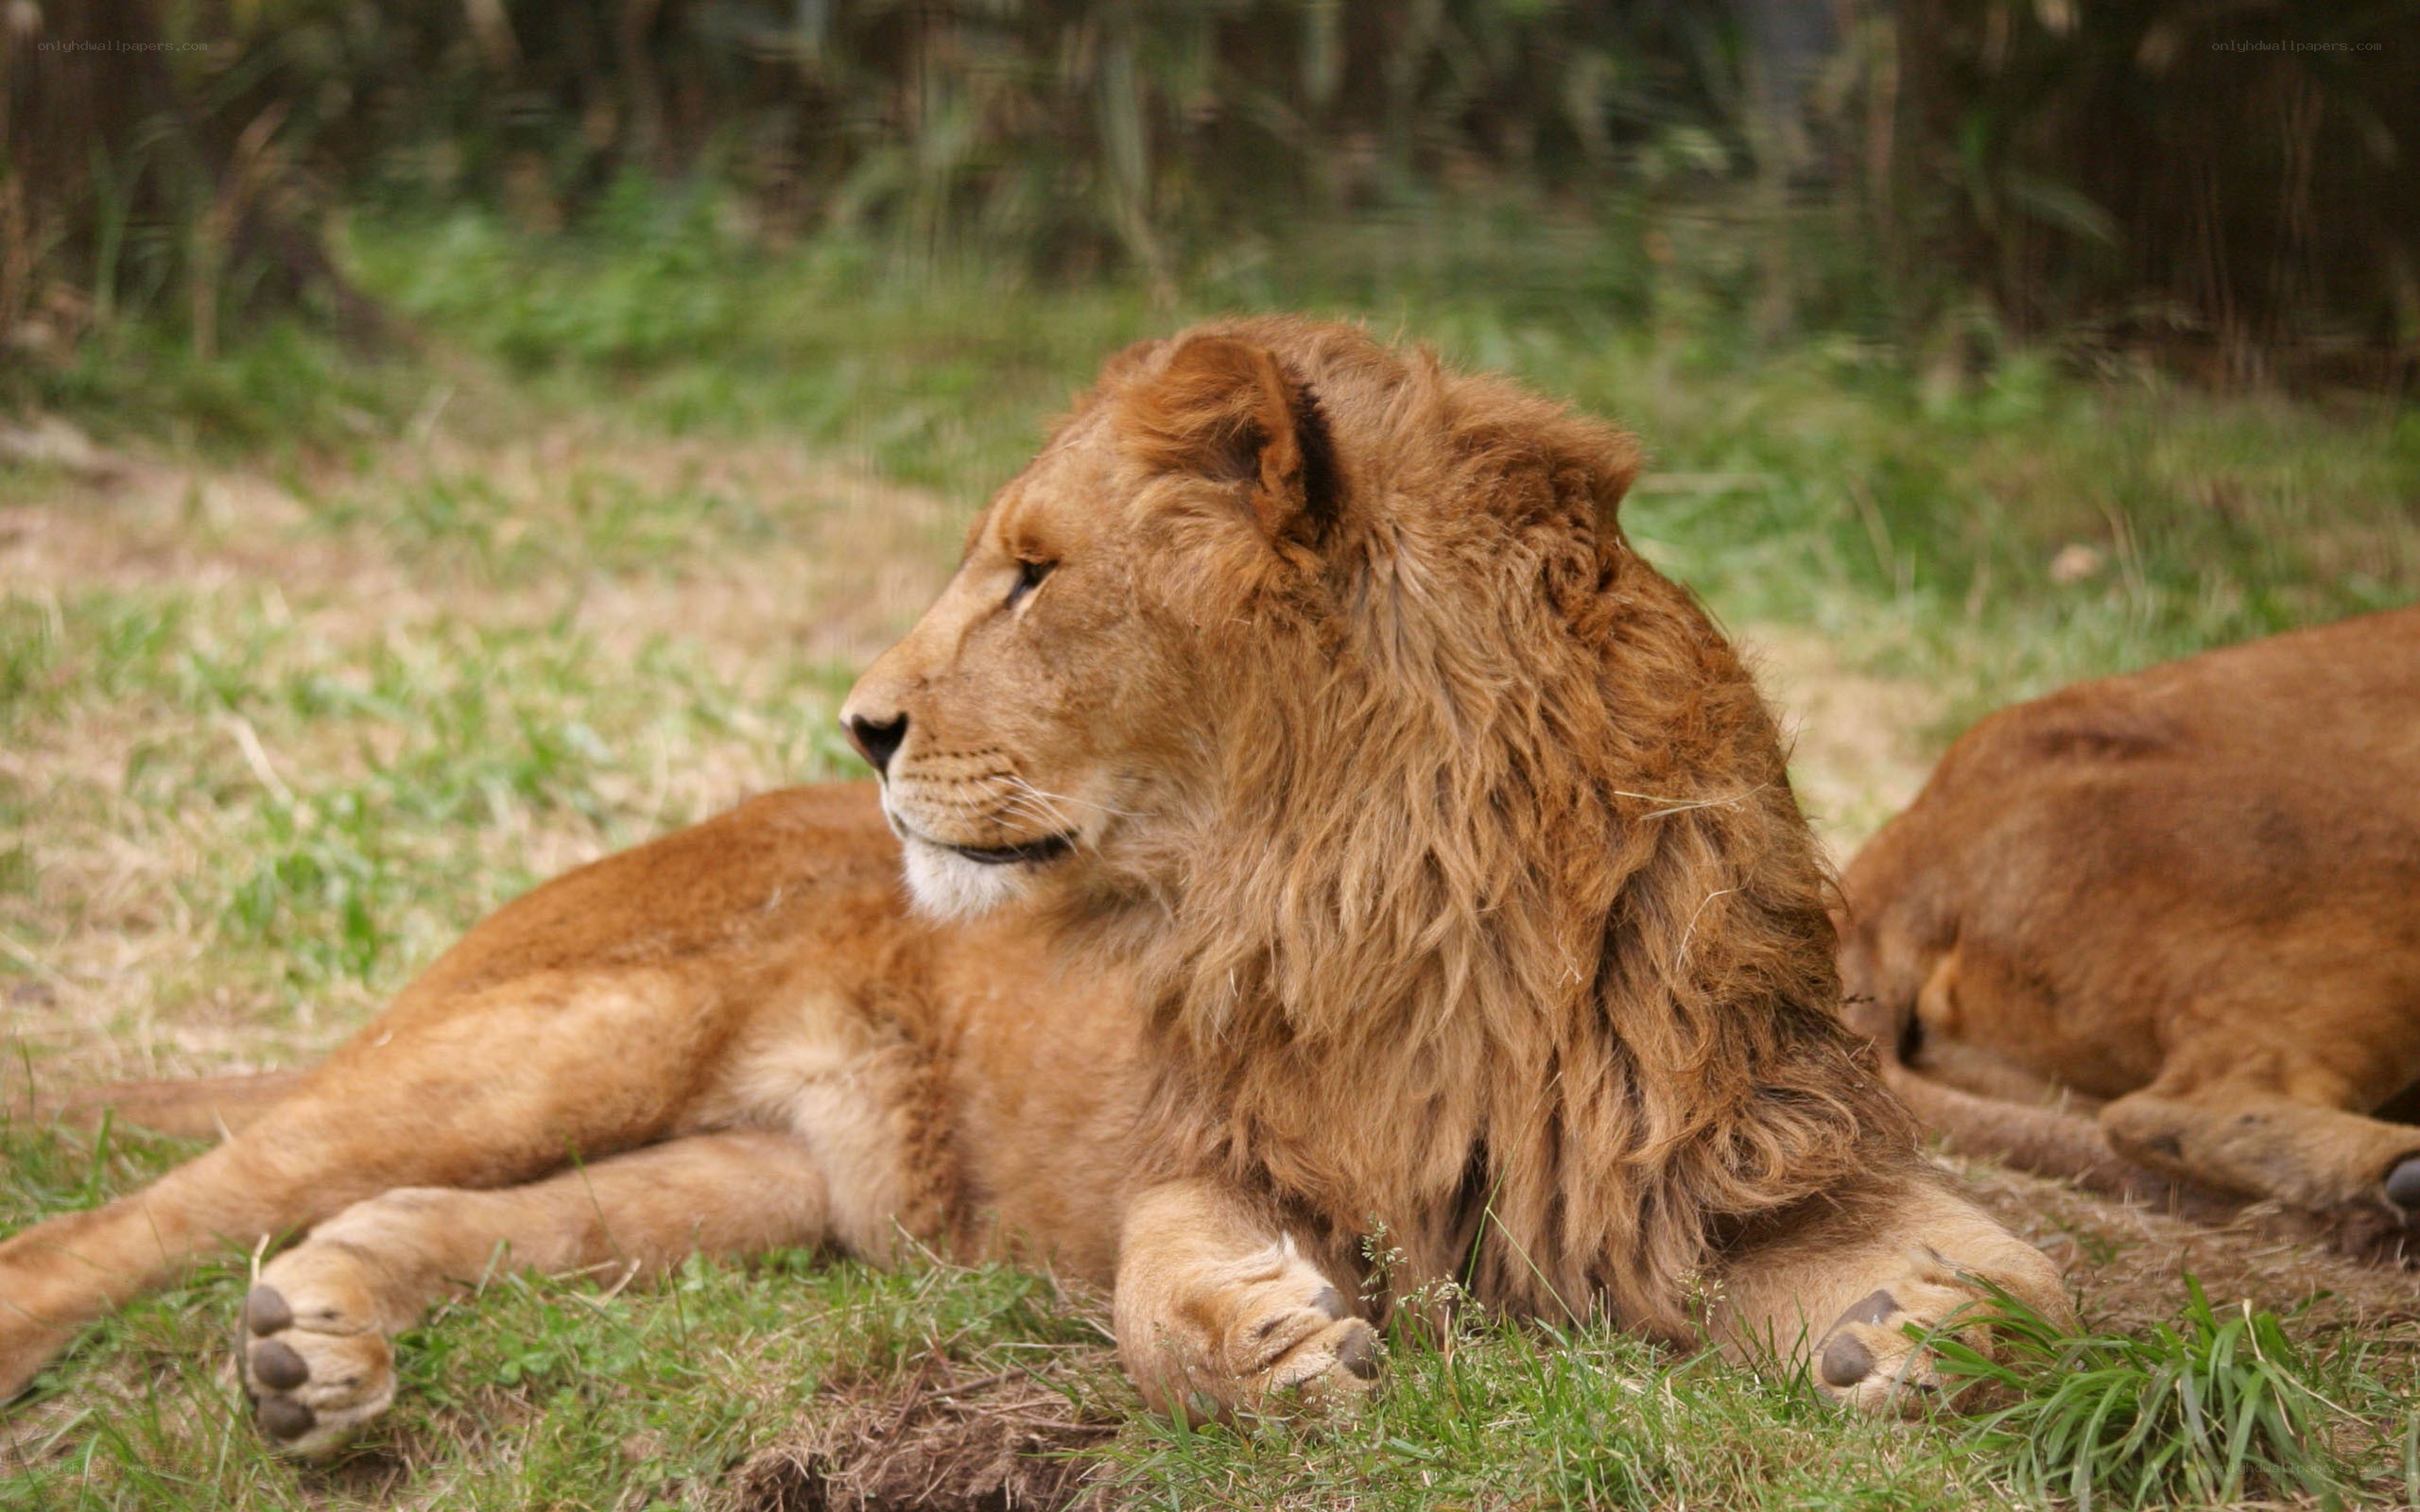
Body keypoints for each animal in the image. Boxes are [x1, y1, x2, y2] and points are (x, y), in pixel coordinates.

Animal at [0, 318, 2068, 1457]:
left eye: (1031, 574)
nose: (861, 722)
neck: (1404, 902)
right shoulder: (1196, 1143)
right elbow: (1163, 1272)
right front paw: (1263, 1343)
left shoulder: (1734, 1154)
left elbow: (2029, 1286)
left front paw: (1907, 1336)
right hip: (564, 1035)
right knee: (154, 1208)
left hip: (763, 1188)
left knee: (435, 1213)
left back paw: (310, 1346)